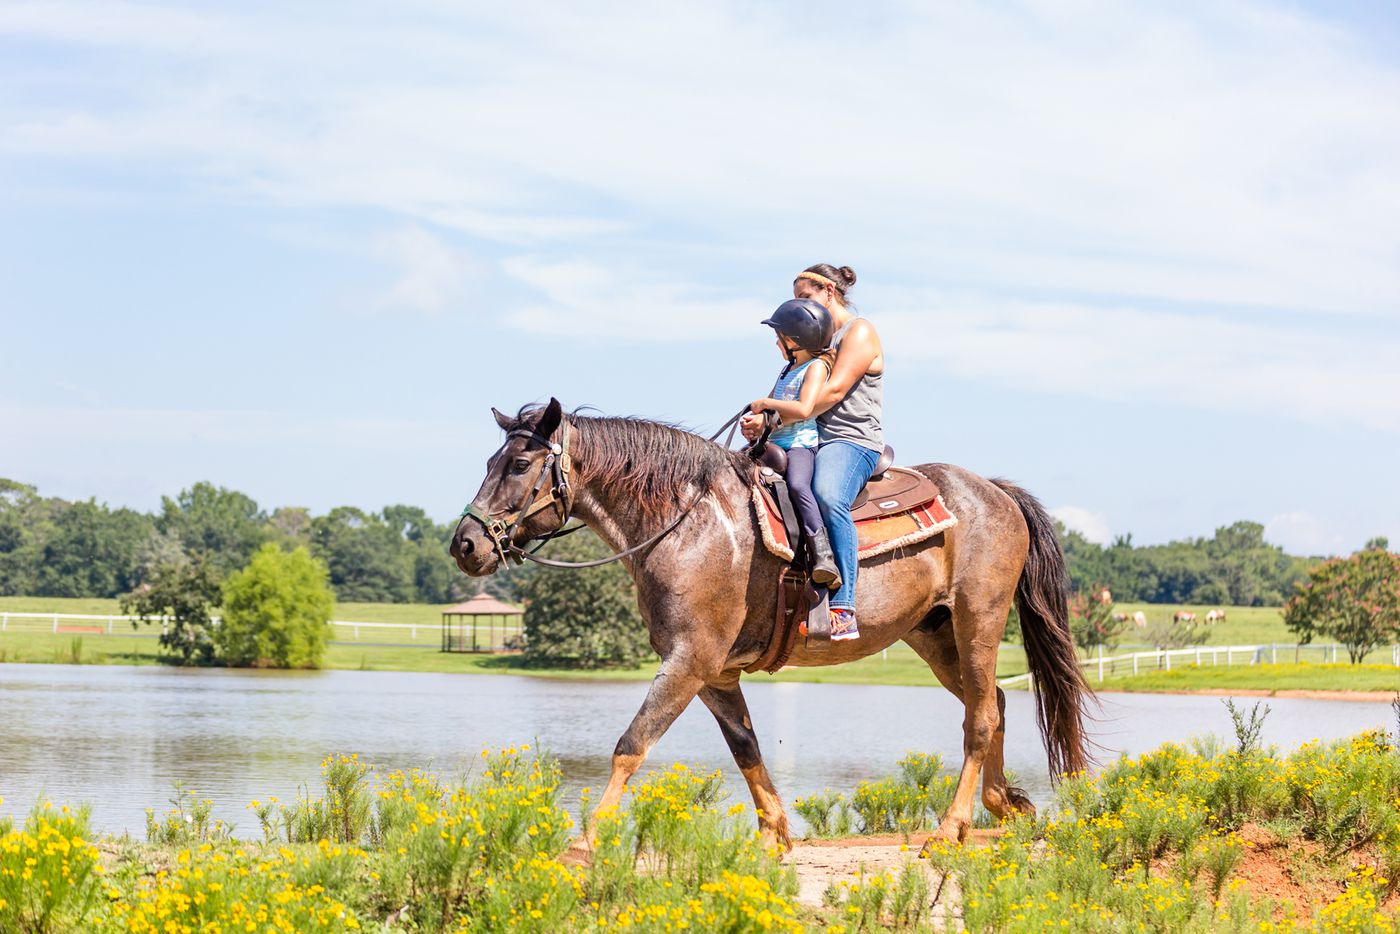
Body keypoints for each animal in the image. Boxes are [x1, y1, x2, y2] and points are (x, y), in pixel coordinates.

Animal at [448, 397, 1092, 856]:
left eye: (520, 464)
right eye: (488, 463)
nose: (465, 545)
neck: (688, 523)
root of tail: (994, 492)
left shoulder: (687, 661)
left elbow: (631, 745)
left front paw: (584, 844)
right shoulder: (714, 674)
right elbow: (746, 747)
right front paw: (774, 832)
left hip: (977, 619)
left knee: (980, 718)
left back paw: (951, 828)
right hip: (933, 635)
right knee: (994, 706)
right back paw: (1004, 806)